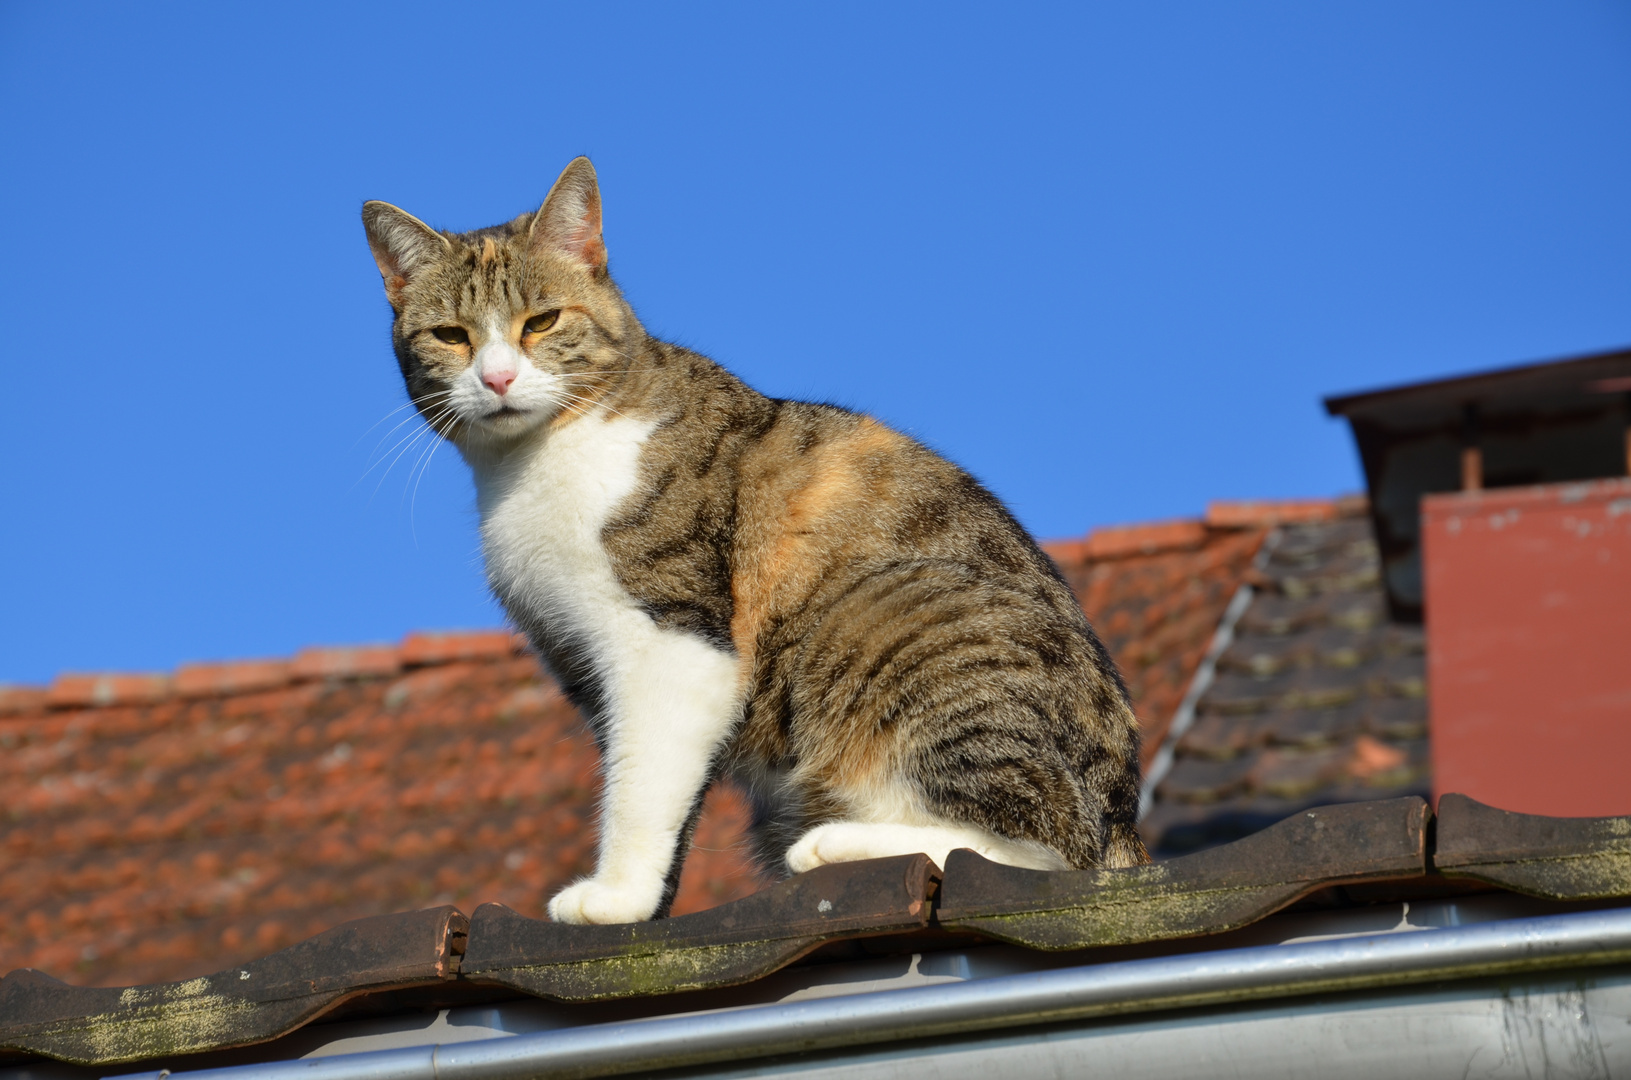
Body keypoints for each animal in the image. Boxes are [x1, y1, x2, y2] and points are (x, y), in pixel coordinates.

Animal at [363, 160, 1148, 933]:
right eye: (451, 335)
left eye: (542, 321)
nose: (496, 378)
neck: (534, 460)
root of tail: (1124, 824)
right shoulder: (583, 662)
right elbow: (653, 778)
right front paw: (652, 899)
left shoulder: (676, 638)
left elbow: (641, 780)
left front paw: (617, 897)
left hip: (892, 613)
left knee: (1037, 843)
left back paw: (831, 846)